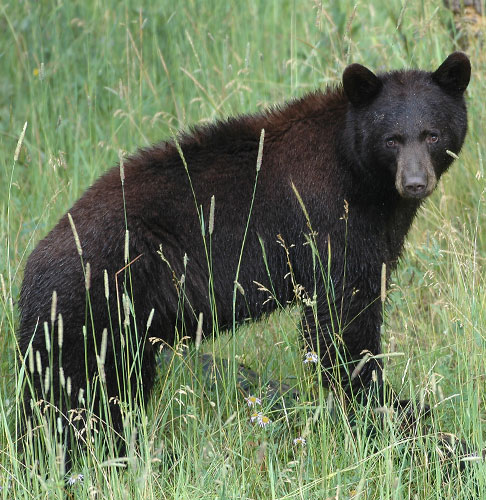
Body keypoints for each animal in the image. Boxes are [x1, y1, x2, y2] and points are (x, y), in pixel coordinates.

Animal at [19, 53, 470, 454]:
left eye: (432, 134)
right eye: (391, 139)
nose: (415, 182)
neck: (360, 172)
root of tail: (32, 267)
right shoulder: (328, 217)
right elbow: (343, 314)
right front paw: (378, 402)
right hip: (91, 310)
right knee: (70, 394)